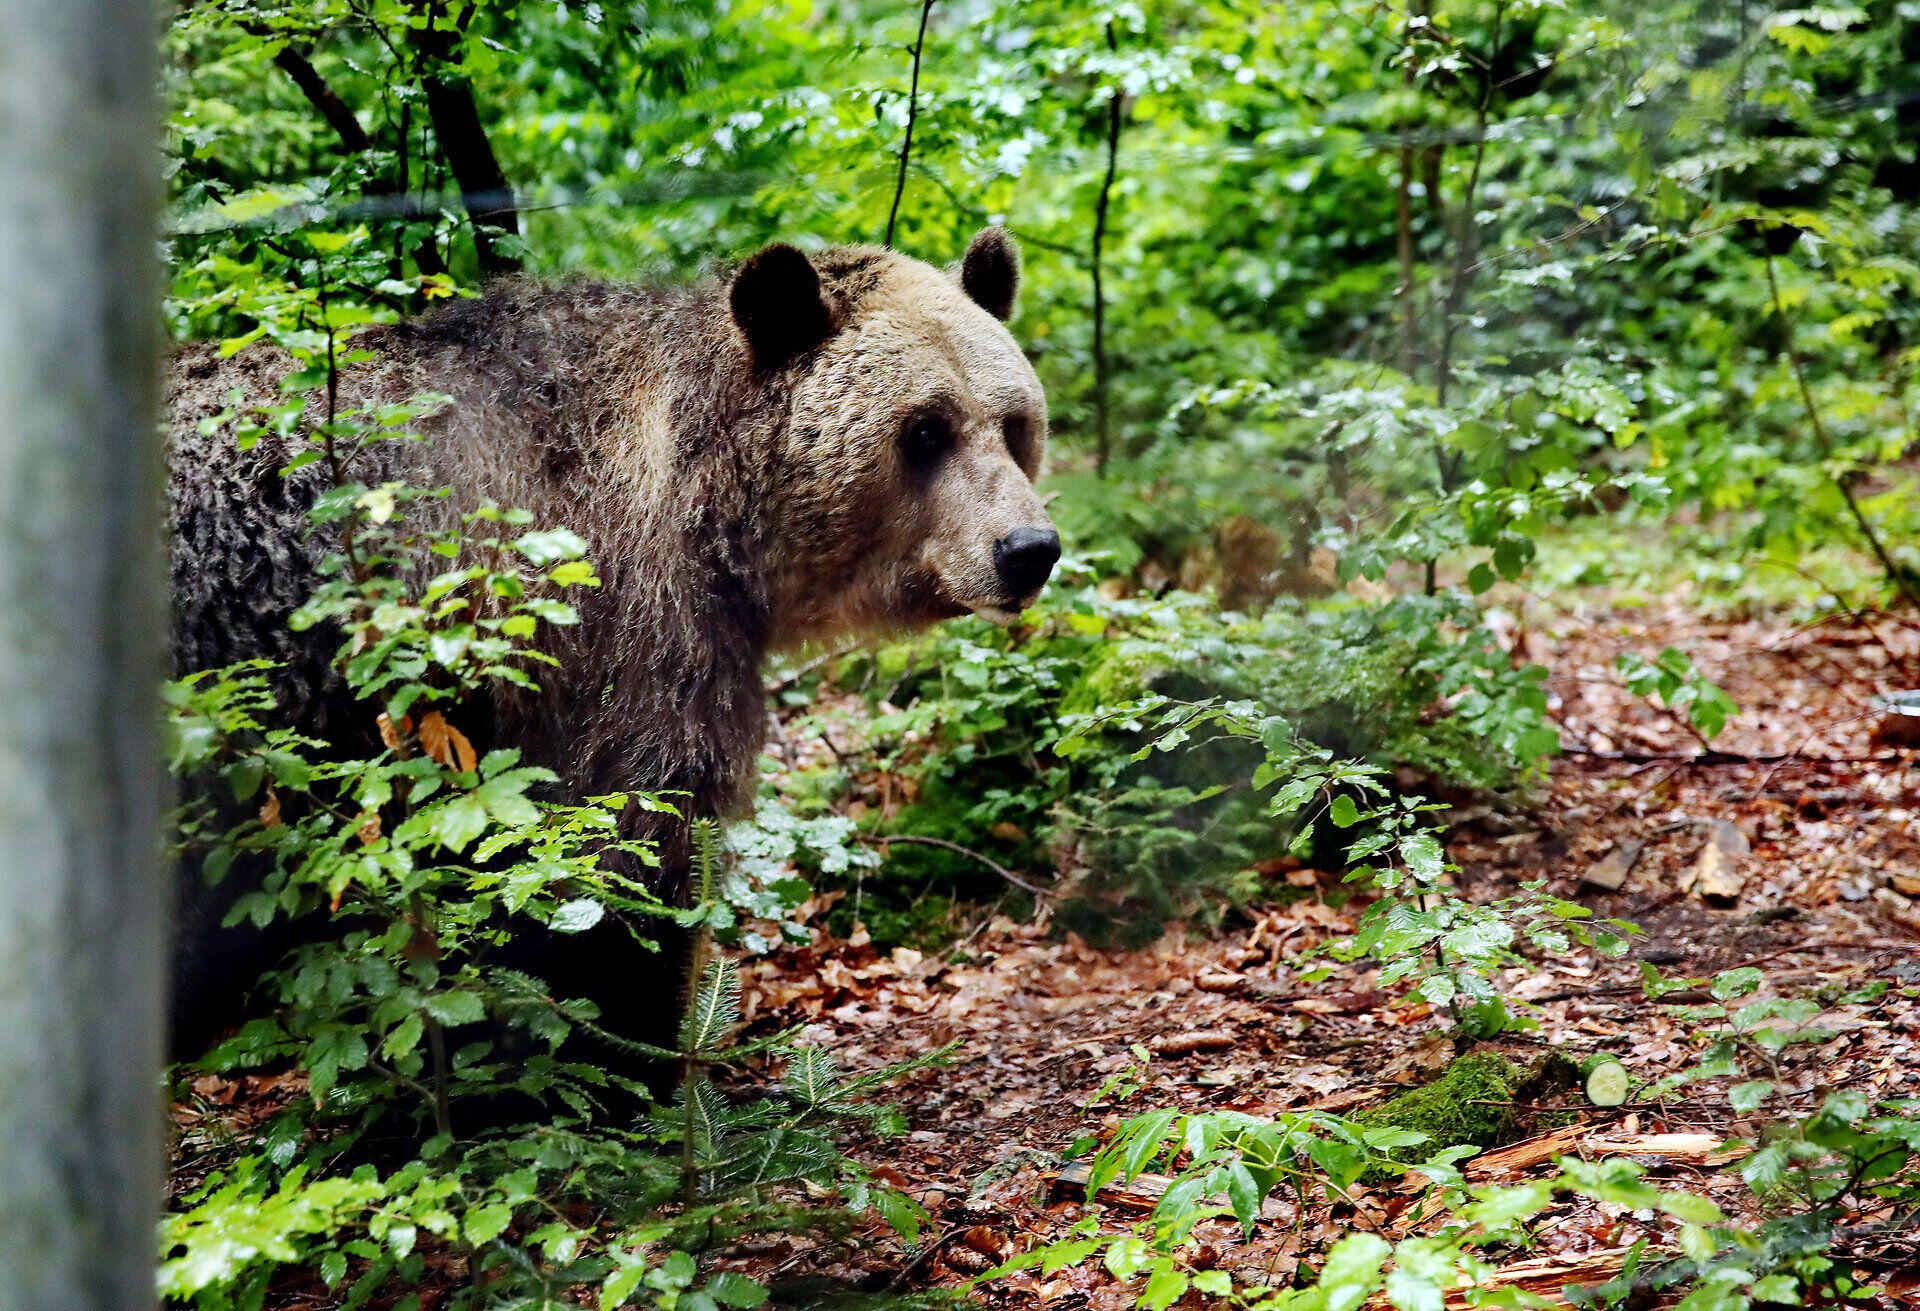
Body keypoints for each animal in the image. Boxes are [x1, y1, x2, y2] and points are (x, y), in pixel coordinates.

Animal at [166, 227, 1059, 1079]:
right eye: (924, 429)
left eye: (1014, 422)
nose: (1028, 548)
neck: (716, 516)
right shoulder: (610, 624)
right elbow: (623, 846)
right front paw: (628, 1057)